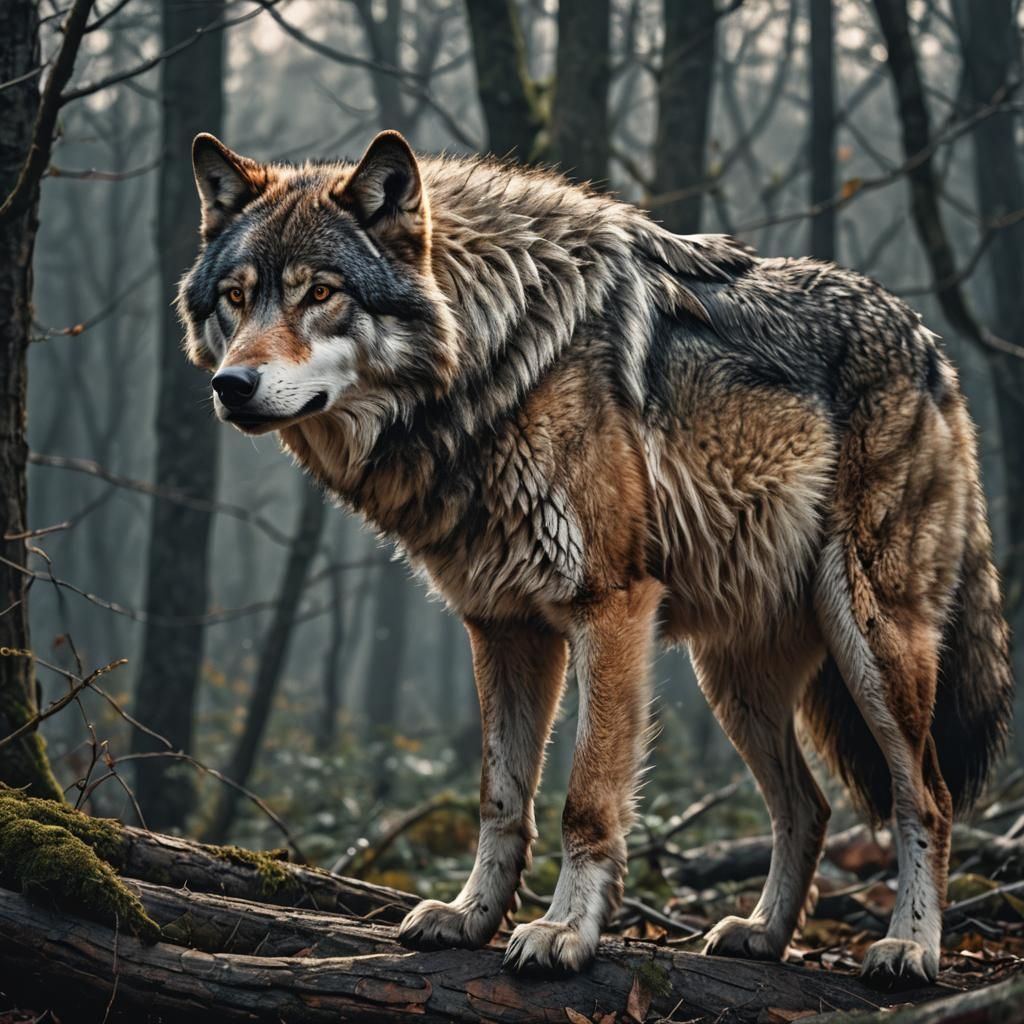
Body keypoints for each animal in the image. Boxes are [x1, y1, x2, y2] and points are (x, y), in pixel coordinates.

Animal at [178, 129, 1013, 987]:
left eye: (320, 293)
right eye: (237, 297)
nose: (232, 384)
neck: (496, 361)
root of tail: (928, 342)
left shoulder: (609, 606)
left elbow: (585, 799)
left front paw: (564, 932)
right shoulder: (502, 626)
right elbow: (500, 797)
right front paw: (471, 918)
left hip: (871, 642)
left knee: (927, 797)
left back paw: (910, 945)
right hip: (736, 682)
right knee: (806, 807)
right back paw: (762, 934)